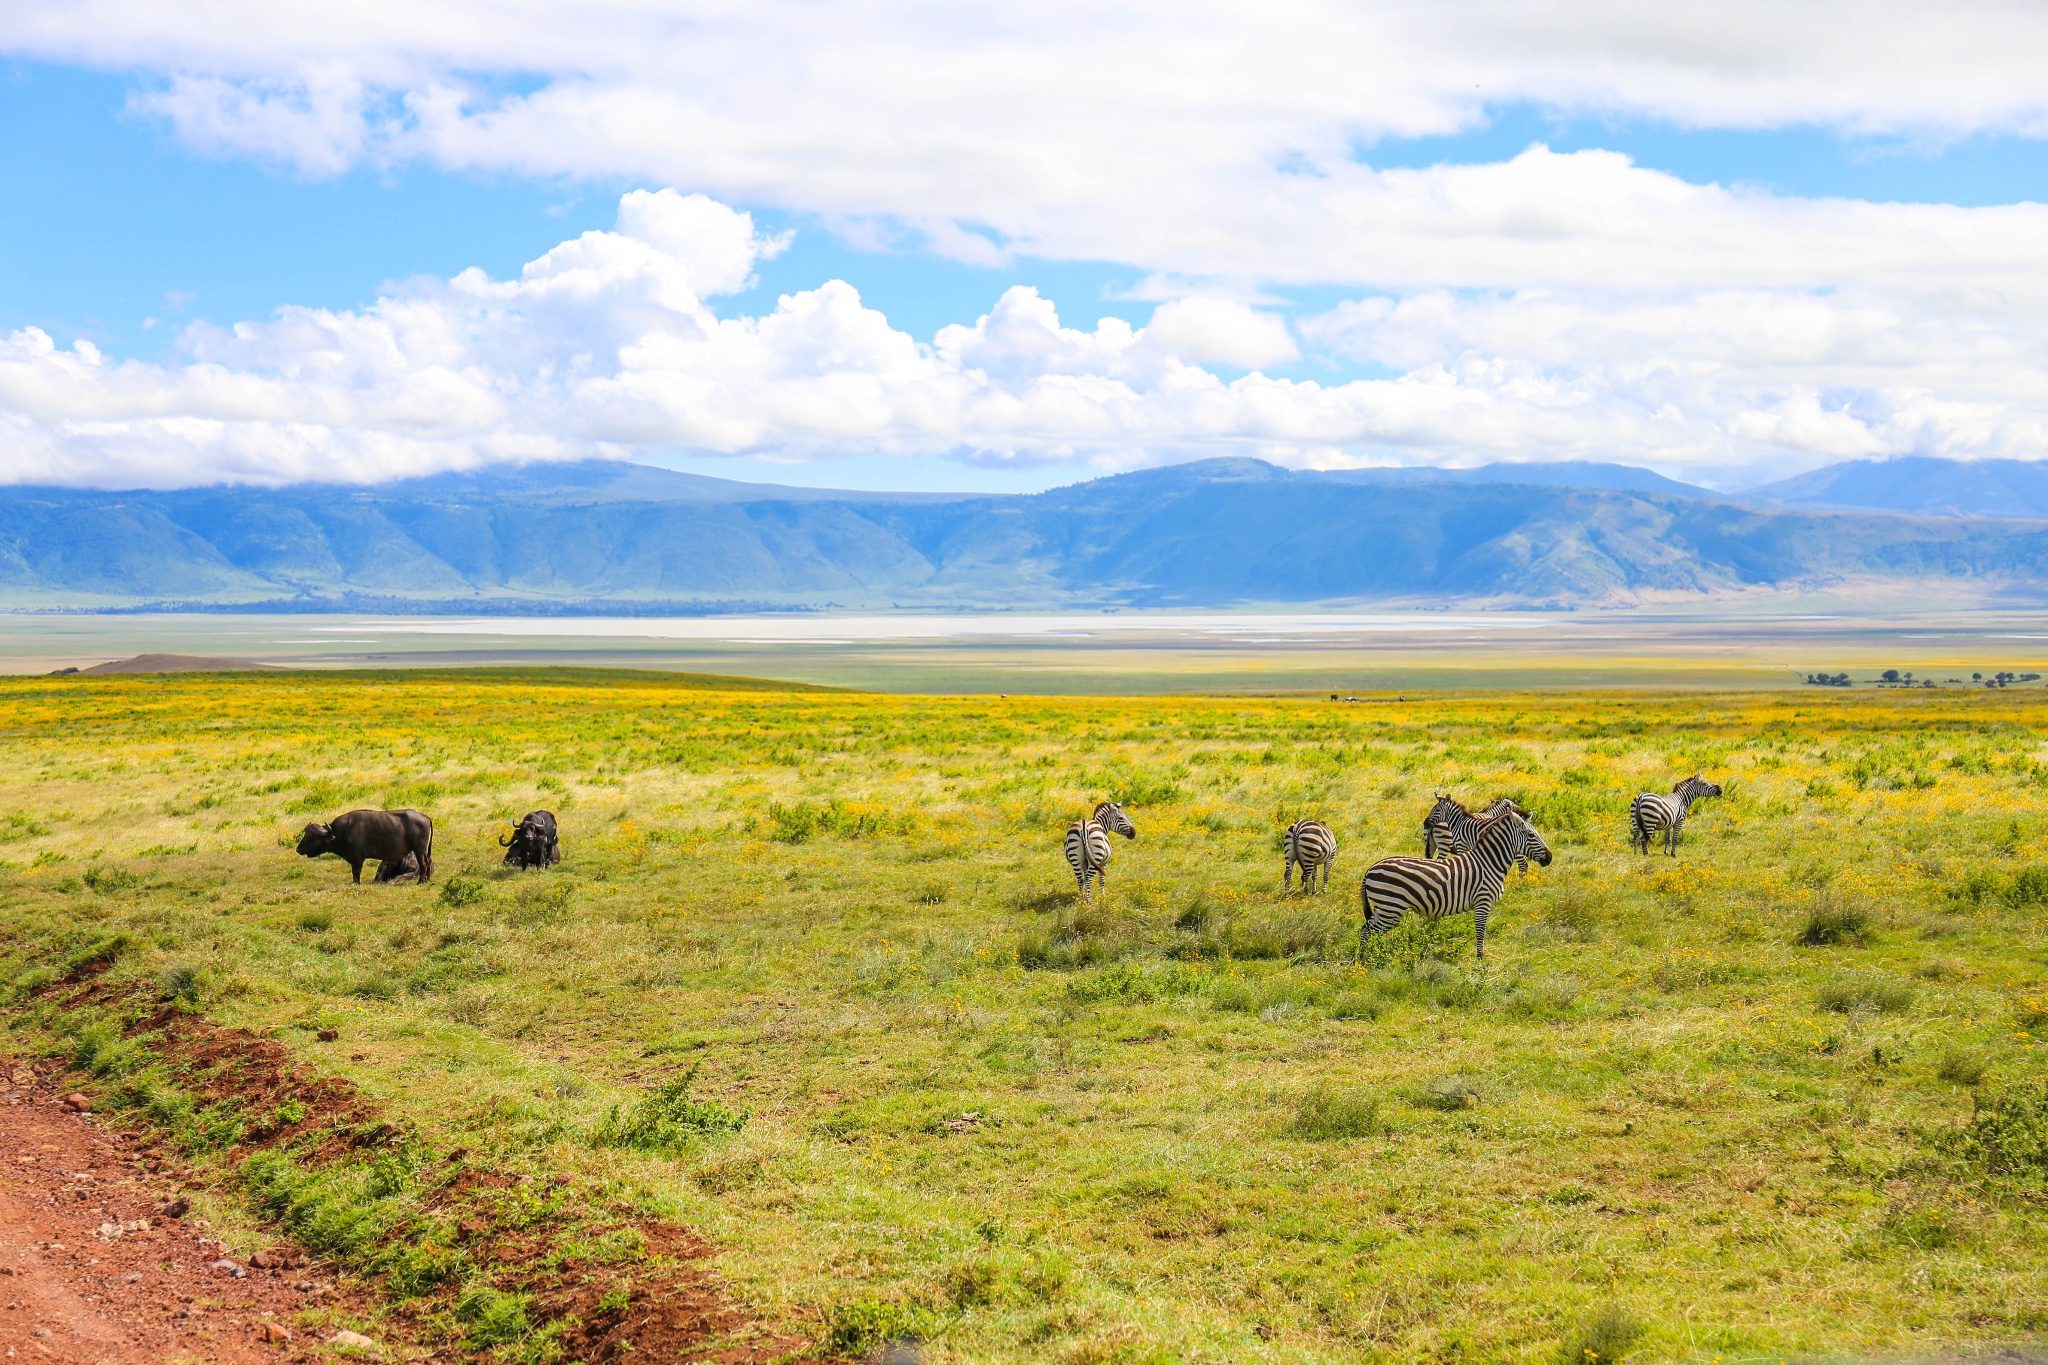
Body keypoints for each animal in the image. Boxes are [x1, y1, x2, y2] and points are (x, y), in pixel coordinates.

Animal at [296, 810, 432, 888]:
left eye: (309, 837)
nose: (298, 849)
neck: (341, 832)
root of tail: (425, 817)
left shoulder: (357, 859)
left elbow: (356, 872)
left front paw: (355, 883)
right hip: (425, 851)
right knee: (428, 861)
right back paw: (427, 879)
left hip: (419, 850)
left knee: (424, 863)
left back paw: (421, 881)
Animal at [1359, 810, 1548, 961]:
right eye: (1531, 835)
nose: (1550, 858)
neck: (1489, 863)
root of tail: (1370, 868)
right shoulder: (1483, 901)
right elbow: (1481, 930)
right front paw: (1480, 959)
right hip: (1391, 907)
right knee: (1367, 930)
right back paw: (1365, 957)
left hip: (1384, 907)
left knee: (1367, 928)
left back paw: (1375, 953)